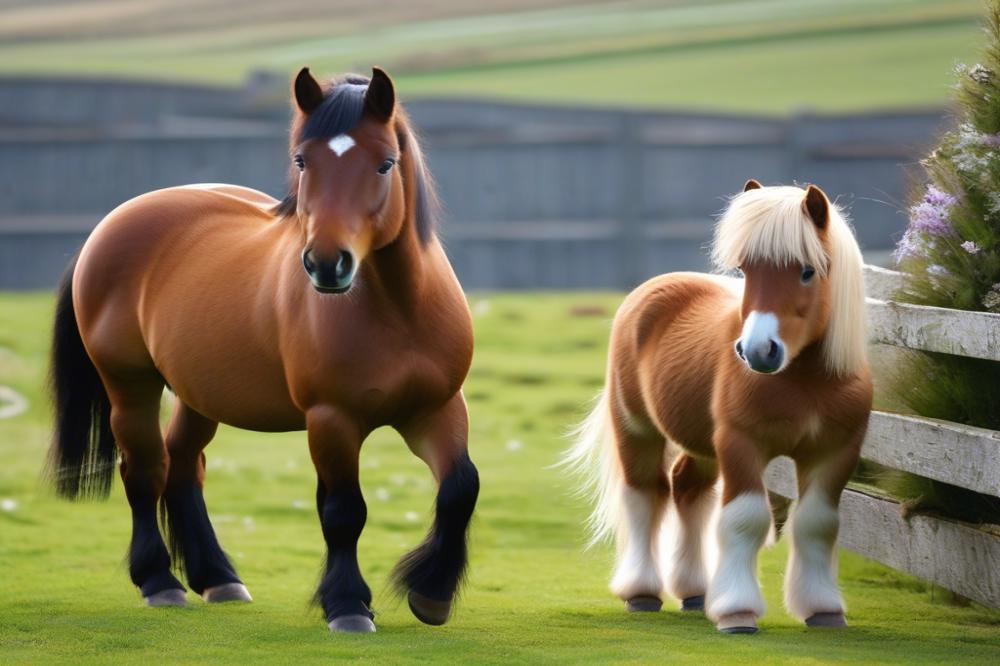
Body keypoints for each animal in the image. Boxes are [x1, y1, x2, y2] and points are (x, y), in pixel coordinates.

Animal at [48, 67, 478, 632]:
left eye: (386, 162)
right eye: (302, 160)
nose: (326, 263)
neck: (400, 311)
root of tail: (109, 224)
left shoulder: (437, 407)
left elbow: (460, 488)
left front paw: (431, 594)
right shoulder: (332, 419)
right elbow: (344, 511)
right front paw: (347, 604)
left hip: (197, 393)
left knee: (183, 466)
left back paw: (218, 577)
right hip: (129, 385)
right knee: (144, 471)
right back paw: (160, 582)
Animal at [568, 179, 872, 632]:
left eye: (807, 270)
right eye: (746, 270)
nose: (757, 350)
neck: (805, 383)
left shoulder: (835, 452)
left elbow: (818, 524)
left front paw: (823, 609)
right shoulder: (740, 445)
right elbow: (746, 519)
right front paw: (737, 612)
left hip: (702, 446)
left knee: (687, 490)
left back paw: (696, 592)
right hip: (637, 429)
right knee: (644, 495)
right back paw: (642, 591)